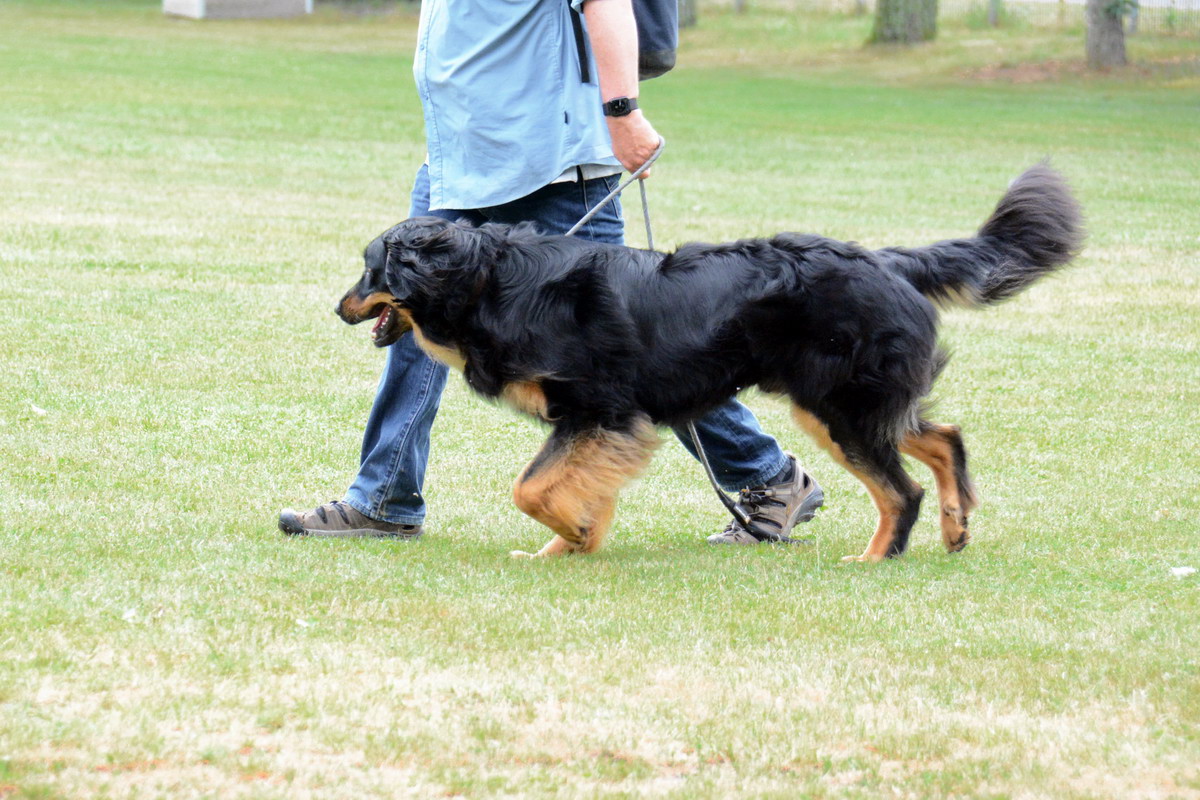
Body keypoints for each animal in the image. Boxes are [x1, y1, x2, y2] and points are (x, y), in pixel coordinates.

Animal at [336, 165, 1080, 561]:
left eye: (370, 269)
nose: (338, 306)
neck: (488, 282)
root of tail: (887, 259)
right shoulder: (605, 425)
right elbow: (574, 488)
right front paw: (572, 545)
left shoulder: (601, 412)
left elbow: (533, 488)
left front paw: (571, 534)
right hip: (847, 402)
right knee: (943, 438)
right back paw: (955, 529)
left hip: (841, 406)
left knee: (903, 489)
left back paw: (874, 558)